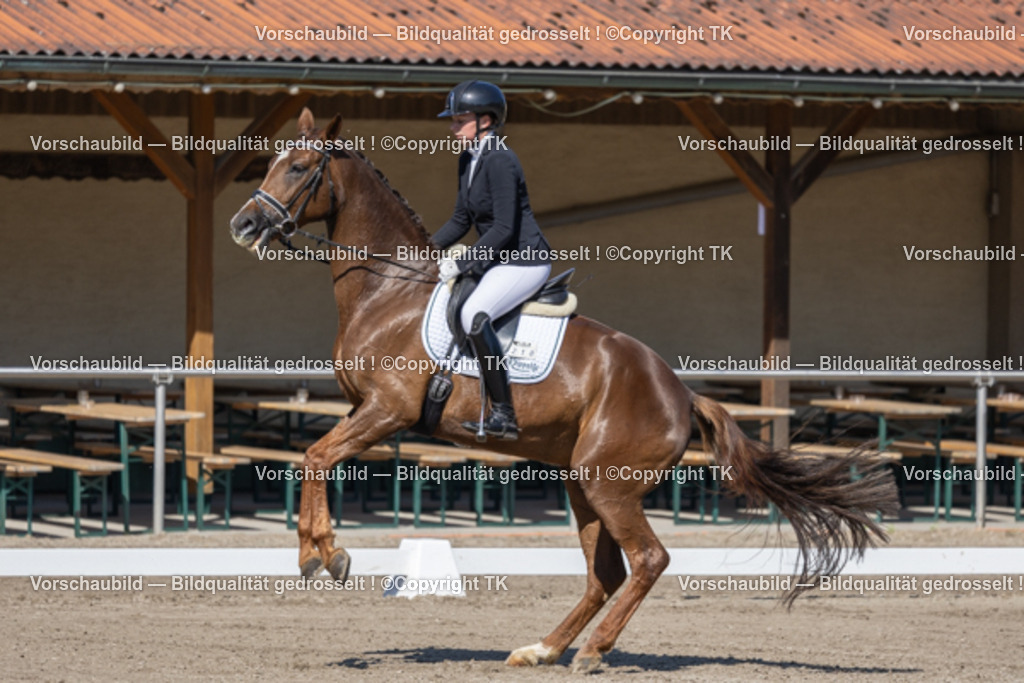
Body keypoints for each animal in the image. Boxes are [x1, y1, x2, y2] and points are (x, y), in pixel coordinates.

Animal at [229, 108, 899, 673]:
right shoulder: (362, 410)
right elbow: (313, 458)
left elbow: (315, 458)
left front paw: (323, 555)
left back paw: (592, 653)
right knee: (605, 573)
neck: (388, 290)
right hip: (583, 482)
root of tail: (680, 392)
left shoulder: (387, 411)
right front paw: (314, 551)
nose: (243, 224)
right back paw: (543, 649)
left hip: (610, 484)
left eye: (297, 167)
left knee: (647, 560)